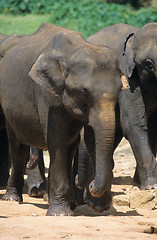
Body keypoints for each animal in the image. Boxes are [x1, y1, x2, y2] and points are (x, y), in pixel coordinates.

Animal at [0, 22, 122, 216]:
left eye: (119, 90)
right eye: (84, 92)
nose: (91, 185)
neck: (73, 50)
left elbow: (89, 140)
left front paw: (98, 207)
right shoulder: (47, 95)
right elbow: (58, 141)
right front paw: (60, 214)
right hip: (9, 109)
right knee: (18, 148)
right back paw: (12, 199)